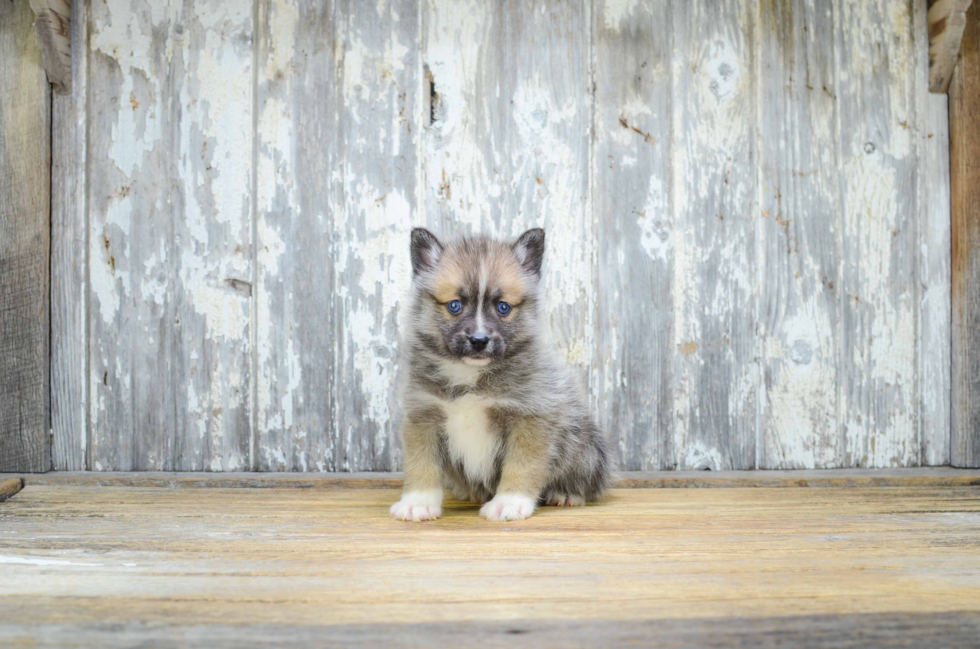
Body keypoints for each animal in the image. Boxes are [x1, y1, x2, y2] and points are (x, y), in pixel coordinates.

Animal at [388, 228, 604, 520]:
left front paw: (510, 502)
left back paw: (566, 494)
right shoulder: (423, 415)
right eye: (454, 305)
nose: (479, 340)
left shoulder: (529, 417)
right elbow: (421, 463)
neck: (470, 375)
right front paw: (417, 502)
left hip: (584, 449)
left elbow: (522, 465)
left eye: (503, 307)